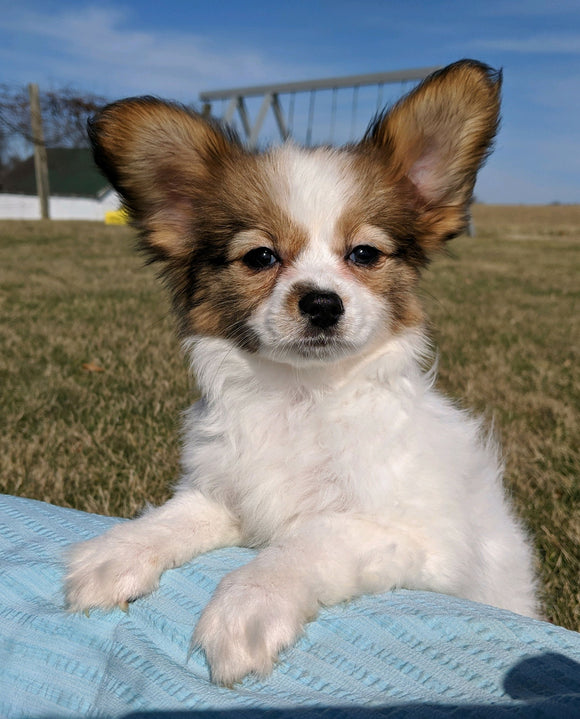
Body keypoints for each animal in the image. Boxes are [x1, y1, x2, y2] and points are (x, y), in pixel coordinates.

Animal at [67, 60, 540, 688]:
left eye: (364, 254)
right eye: (260, 258)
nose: (321, 303)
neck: (301, 398)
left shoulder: (417, 538)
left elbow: (308, 540)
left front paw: (246, 605)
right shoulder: (229, 495)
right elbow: (176, 515)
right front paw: (115, 552)